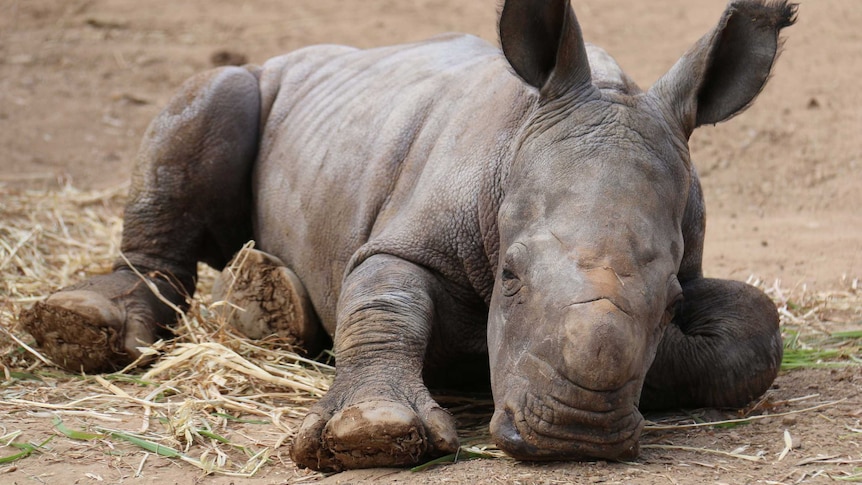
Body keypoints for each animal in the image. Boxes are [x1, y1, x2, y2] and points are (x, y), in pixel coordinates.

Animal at [22, 0, 796, 470]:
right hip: (257, 80)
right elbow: (382, 299)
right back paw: (78, 328)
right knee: (212, 97)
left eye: (670, 303)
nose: (577, 433)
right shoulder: (403, 238)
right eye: (509, 276)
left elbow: (754, 330)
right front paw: (370, 434)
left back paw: (270, 311)